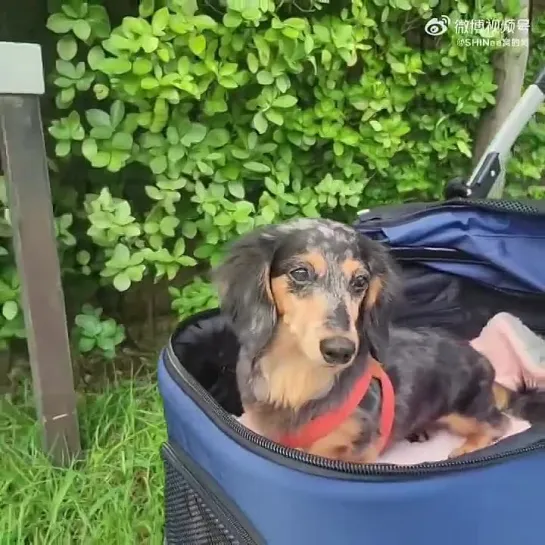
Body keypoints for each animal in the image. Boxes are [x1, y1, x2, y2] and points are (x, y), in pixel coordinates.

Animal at [211, 219, 544, 462]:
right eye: (300, 273)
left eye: (360, 281)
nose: (340, 351)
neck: (298, 376)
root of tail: (484, 362)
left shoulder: (359, 451)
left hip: (464, 411)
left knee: (499, 424)